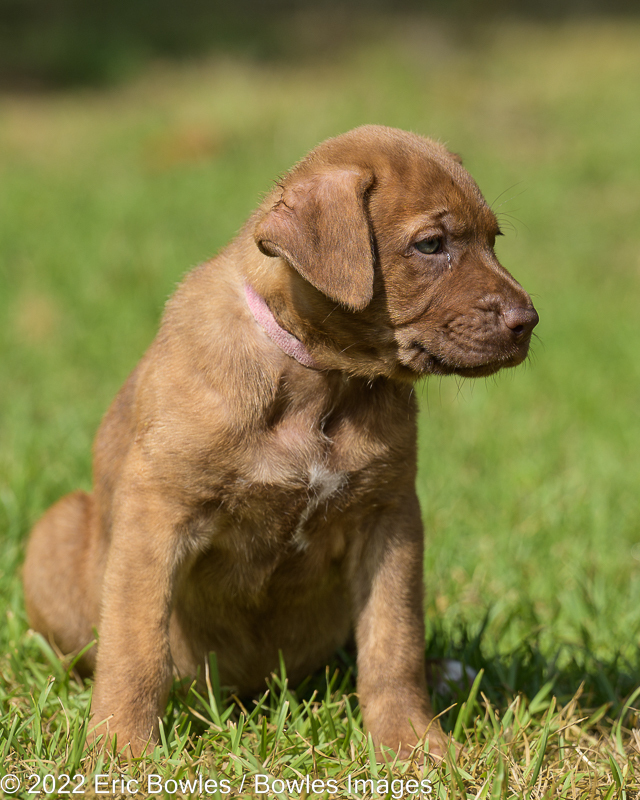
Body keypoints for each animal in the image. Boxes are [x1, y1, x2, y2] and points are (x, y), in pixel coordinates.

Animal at [22, 125, 536, 756]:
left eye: (494, 240)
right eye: (431, 245)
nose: (529, 320)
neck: (320, 381)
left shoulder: (390, 516)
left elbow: (394, 644)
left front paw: (412, 744)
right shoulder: (156, 512)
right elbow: (136, 647)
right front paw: (120, 748)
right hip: (57, 527)